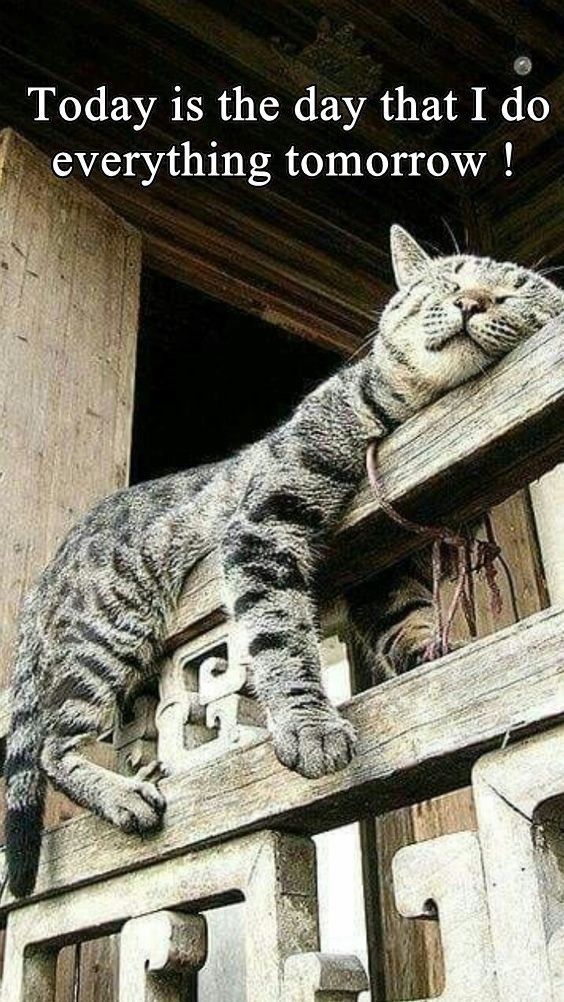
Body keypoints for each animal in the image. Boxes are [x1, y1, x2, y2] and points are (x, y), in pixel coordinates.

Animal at [5, 229, 564, 901]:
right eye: (450, 279)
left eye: (515, 290)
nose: (475, 301)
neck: (412, 413)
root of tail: (52, 563)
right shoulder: (264, 524)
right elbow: (278, 635)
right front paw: (307, 723)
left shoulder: (387, 578)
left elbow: (409, 625)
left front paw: (437, 652)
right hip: (110, 635)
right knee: (50, 745)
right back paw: (122, 795)